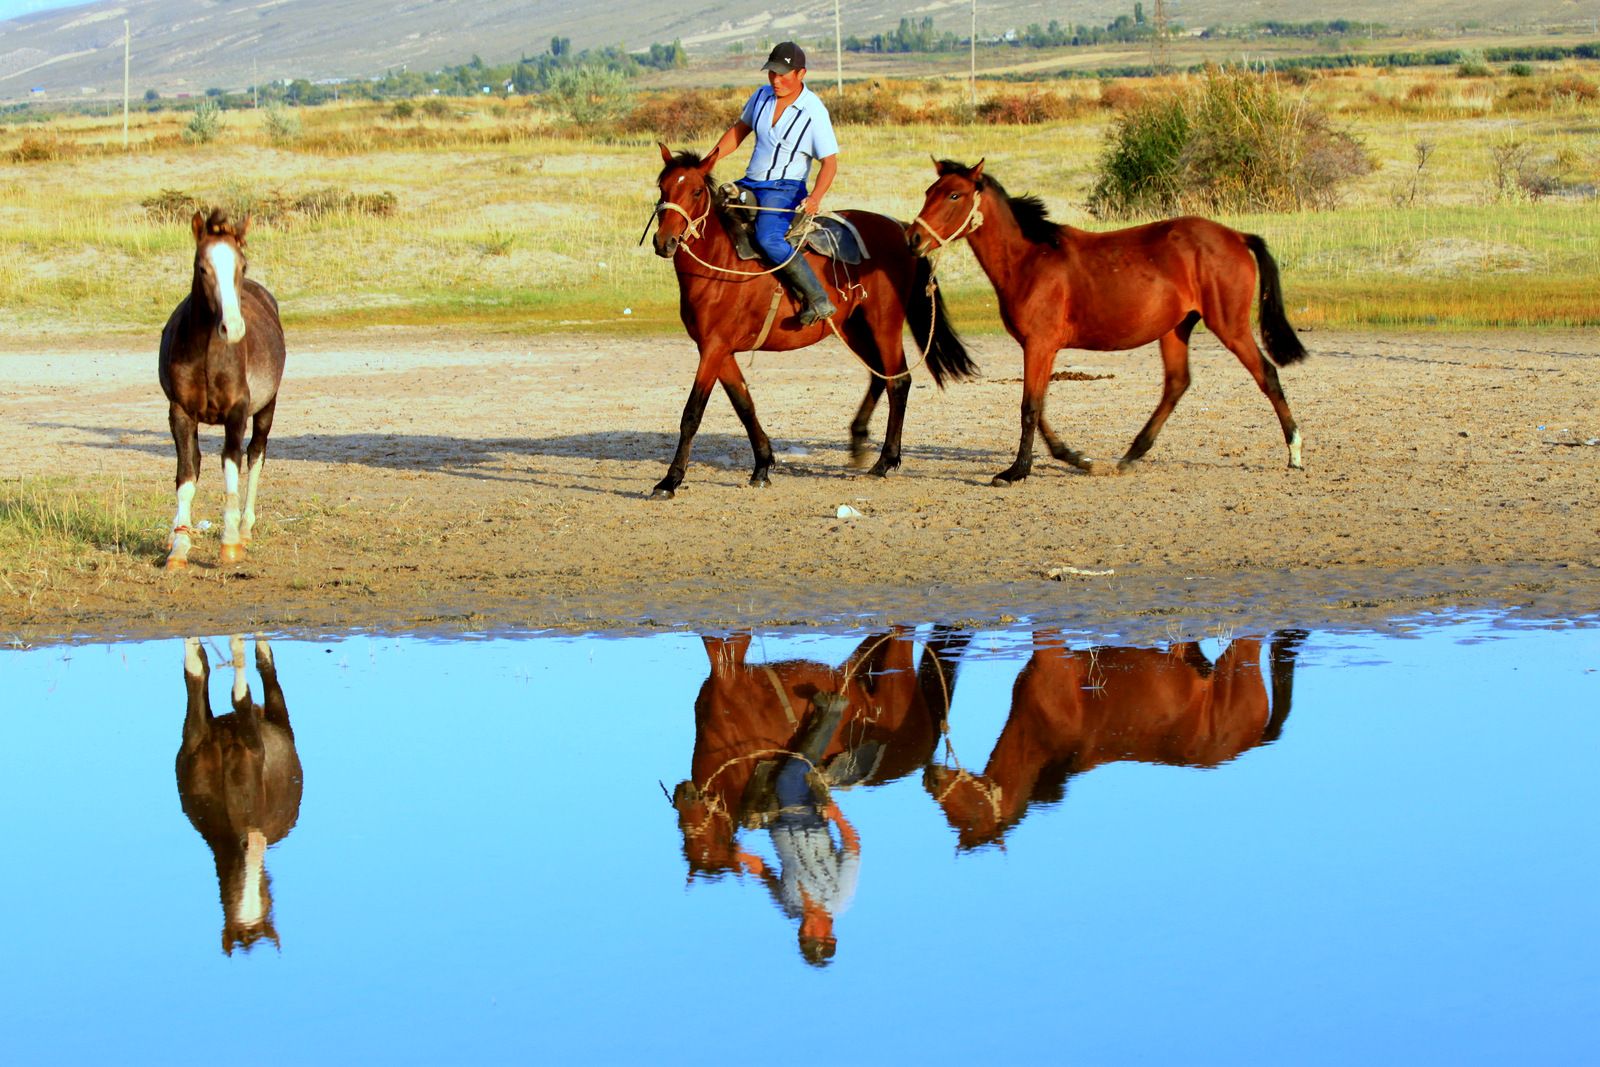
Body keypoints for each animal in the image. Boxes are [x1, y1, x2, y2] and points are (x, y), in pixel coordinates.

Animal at [157, 211, 286, 572]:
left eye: (242, 265)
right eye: (202, 267)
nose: (233, 328)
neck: (207, 356)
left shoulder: (236, 413)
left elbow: (232, 464)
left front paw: (229, 544)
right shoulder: (180, 413)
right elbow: (186, 475)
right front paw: (179, 548)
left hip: (267, 408)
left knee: (256, 455)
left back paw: (244, 530)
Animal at [649, 141, 972, 502]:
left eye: (694, 191)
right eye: (663, 187)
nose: (664, 241)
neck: (721, 262)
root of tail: (901, 229)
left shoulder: (714, 348)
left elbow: (692, 413)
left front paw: (670, 480)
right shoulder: (719, 349)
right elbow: (745, 405)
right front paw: (762, 466)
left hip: (884, 322)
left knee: (897, 382)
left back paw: (884, 461)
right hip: (853, 327)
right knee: (879, 377)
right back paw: (859, 440)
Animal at [908, 159, 1305, 489]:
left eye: (955, 194)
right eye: (929, 192)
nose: (914, 238)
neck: (1029, 259)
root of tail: (1236, 236)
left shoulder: (1039, 344)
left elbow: (1029, 408)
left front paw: (1015, 472)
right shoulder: (1038, 347)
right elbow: (1040, 408)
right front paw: (1076, 458)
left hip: (1229, 325)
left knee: (1267, 375)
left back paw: (1295, 453)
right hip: (1175, 329)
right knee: (1177, 384)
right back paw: (1130, 456)